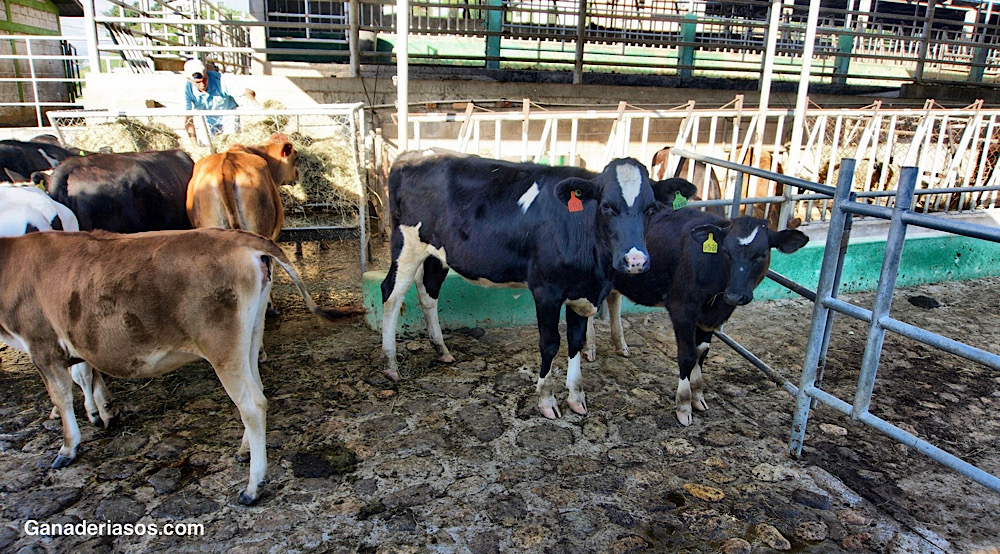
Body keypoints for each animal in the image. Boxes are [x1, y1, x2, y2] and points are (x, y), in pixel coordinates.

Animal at [0, 228, 360, 504]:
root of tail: (241, 237)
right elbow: (83, 374)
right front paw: (100, 412)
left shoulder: (42, 344)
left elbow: (61, 398)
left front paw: (68, 447)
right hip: (248, 337)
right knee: (257, 389)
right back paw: (244, 451)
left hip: (221, 347)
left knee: (252, 404)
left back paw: (252, 487)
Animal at [380, 149, 658, 419]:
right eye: (607, 206)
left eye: (650, 209)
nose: (635, 260)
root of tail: (410, 156)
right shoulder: (546, 290)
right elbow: (550, 343)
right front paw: (547, 400)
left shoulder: (580, 292)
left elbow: (575, 341)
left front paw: (576, 398)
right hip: (406, 245)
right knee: (391, 295)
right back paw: (391, 365)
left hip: (437, 253)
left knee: (428, 291)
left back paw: (441, 350)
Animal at [589, 200, 808, 426]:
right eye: (726, 251)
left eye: (762, 255)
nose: (735, 295)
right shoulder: (682, 310)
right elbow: (687, 355)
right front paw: (684, 406)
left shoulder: (709, 318)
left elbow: (701, 352)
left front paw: (697, 397)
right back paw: (590, 349)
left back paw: (618, 345)